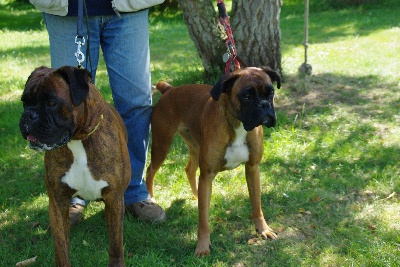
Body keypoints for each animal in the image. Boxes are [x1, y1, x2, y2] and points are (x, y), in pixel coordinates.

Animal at [18, 66, 130, 267]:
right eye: (25, 103)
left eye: (51, 103)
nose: (28, 115)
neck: (77, 140)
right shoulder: (58, 202)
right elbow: (61, 247)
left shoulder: (114, 198)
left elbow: (116, 245)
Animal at [146, 66, 282, 256]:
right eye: (247, 95)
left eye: (270, 93)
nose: (264, 105)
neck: (237, 124)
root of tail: (169, 89)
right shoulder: (208, 174)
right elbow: (203, 220)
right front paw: (203, 246)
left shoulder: (252, 169)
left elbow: (257, 206)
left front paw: (263, 230)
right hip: (162, 145)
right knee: (150, 170)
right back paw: (151, 198)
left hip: (194, 147)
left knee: (189, 169)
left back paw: (197, 195)